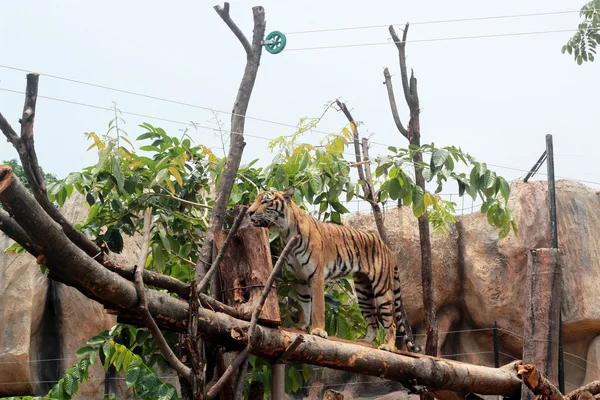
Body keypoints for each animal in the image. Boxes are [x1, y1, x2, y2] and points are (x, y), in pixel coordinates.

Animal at [245, 186, 422, 352]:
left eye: (266, 201)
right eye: (255, 200)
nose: (249, 212)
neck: (286, 233)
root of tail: (387, 248)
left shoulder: (315, 274)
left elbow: (317, 307)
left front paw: (318, 331)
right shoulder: (298, 277)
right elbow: (303, 305)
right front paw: (300, 327)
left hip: (382, 289)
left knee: (391, 322)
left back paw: (388, 346)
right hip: (364, 292)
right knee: (374, 323)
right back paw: (364, 342)